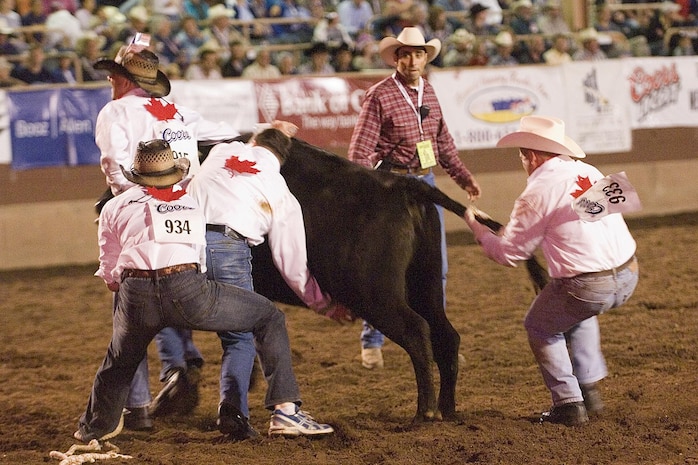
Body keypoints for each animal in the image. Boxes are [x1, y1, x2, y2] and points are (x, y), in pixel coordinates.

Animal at [247, 136, 548, 422]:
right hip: (425, 285)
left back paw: (425, 412)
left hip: (373, 293)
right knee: (445, 336)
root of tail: (403, 185)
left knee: (416, 331)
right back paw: (447, 409)